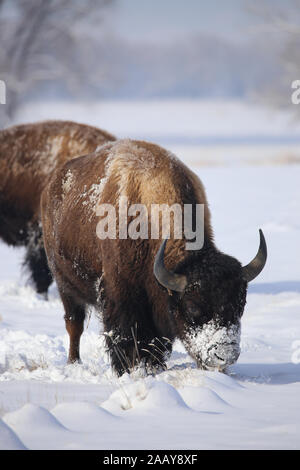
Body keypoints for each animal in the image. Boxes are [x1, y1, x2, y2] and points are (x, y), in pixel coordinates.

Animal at [40, 139, 268, 374]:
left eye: (241, 304)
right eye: (193, 307)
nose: (225, 354)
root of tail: (53, 184)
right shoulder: (120, 299)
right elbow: (124, 339)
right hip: (65, 286)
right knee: (74, 324)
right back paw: (74, 362)